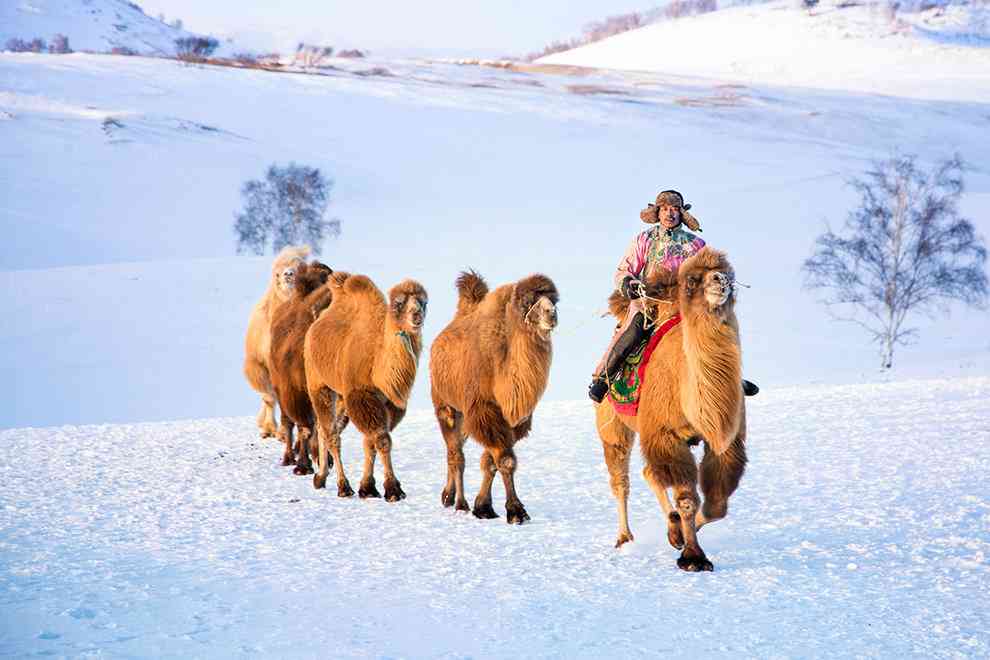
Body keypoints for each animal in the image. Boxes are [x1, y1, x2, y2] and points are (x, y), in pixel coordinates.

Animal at [244, 246, 310, 438]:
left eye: (301, 267)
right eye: (277, 274)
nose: (289, 274)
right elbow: (271, 397)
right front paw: (273, 429)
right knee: (268, 396)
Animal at [270, 260, 336, 472]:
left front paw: (325, 460)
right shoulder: (295, 392)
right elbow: (305, 426)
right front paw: (303, 466)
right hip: (282, 389)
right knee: (289, 422)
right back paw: (290, 458)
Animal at [302, 270, 426, 502]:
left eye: (423, 302)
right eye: (399, 303)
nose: (417, 316)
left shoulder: (389, 403)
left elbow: (371, 442)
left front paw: (368, 487)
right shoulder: (362, 395)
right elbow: (382, 439)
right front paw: (393, 490)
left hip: (341, 395)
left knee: (326, 429)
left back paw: (320, 478)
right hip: (319, 384)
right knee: (331, 434)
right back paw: (343, 486)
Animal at [432, 270, 560, 524]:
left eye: (554, 300)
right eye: (528, 302)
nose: (552, 313)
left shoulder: (512, 421)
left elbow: (490, 462)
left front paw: (484, 507)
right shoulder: (485, 412)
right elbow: (505, 461)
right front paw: (516, 511)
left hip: (464, 418)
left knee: (456, 449)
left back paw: (449, 497)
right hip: (447, 406)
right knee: (455, 454)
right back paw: (459, 502)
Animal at [592, 248, 748, 572]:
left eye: (730, 273)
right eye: (693, 279)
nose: (721, 280)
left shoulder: (727, 441)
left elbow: (716, 505)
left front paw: (680, 535)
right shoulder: (665, 434)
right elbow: (687, 499)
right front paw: (693, 556)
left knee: (649, 472)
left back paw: (670, 525)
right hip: (613, 427)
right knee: (621, 481)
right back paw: (624, 538)